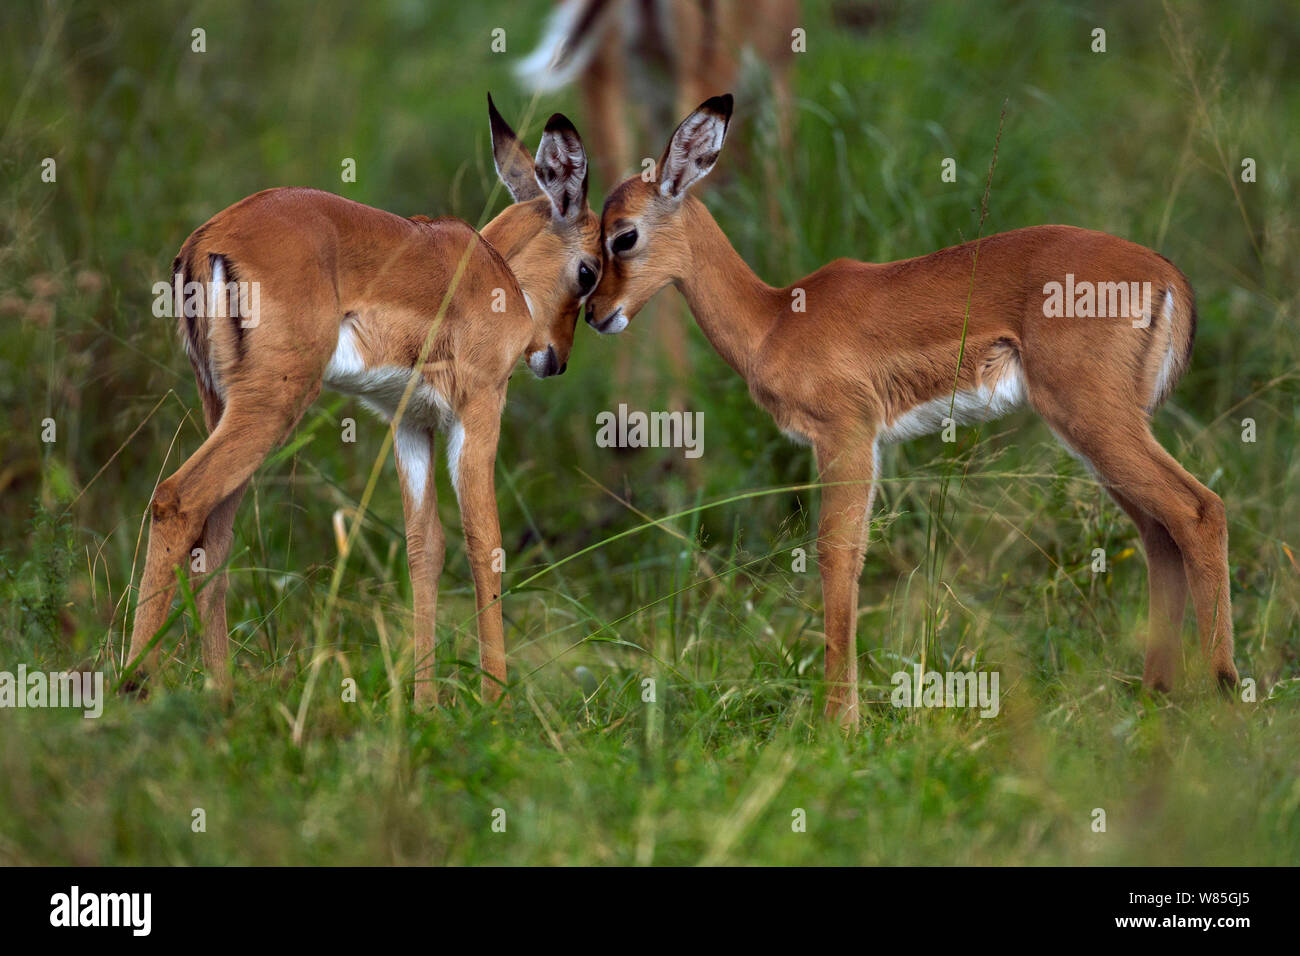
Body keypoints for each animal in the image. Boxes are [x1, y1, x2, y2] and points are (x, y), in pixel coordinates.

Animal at [126, 97, 603, 707]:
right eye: (589, 269)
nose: (555, 358)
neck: (492, 270)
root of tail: (204, 242)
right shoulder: (477, 411)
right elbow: (485, 543)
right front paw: (495, 702)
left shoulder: (411, 423)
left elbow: (425, 547)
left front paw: (424, 705)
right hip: (271, 408)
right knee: (176, 499)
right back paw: (134, 682)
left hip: (224, 406)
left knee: (214, 536)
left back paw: (221, 690)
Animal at [590, 95, 1237, 723]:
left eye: (623, 235)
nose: (596, 313)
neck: (773, 321)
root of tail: (1165, 274)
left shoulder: (847, 435)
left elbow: (838, 555)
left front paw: (840, 723)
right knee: (1159, 532)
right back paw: (1155, 696)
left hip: (1095, 421)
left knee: (1198, 509)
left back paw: (1224, 689)